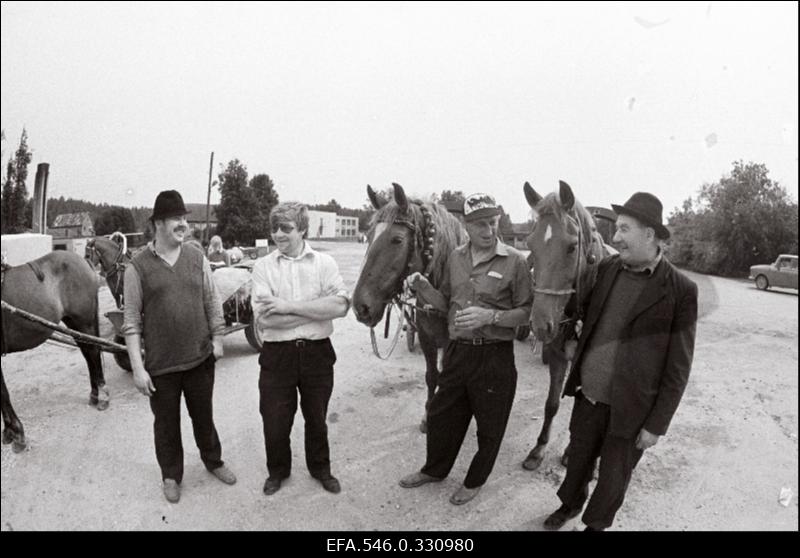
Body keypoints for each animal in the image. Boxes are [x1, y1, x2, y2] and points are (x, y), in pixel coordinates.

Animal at [1, 252, 109, 452]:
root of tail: (83, 260)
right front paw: (9, 431)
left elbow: (3, 393)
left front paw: (17, 433)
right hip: (74, 323)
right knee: (88, 353)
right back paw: (95, 394)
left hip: (83, 321)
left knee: (93, 352)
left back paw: (103, 395)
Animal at [352, 184, 468, 434]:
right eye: (368, 237)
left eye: (397, 239)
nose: (360, 307)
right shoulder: (426, 338)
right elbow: (432, 376)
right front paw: (428, 415)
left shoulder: (451, 344)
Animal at [520, 182, 616, 470]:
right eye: (530, 245)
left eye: (572, 247)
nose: (540, 325)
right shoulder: (557, 356)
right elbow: (551, 404)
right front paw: (538, 449)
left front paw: (574, 453)